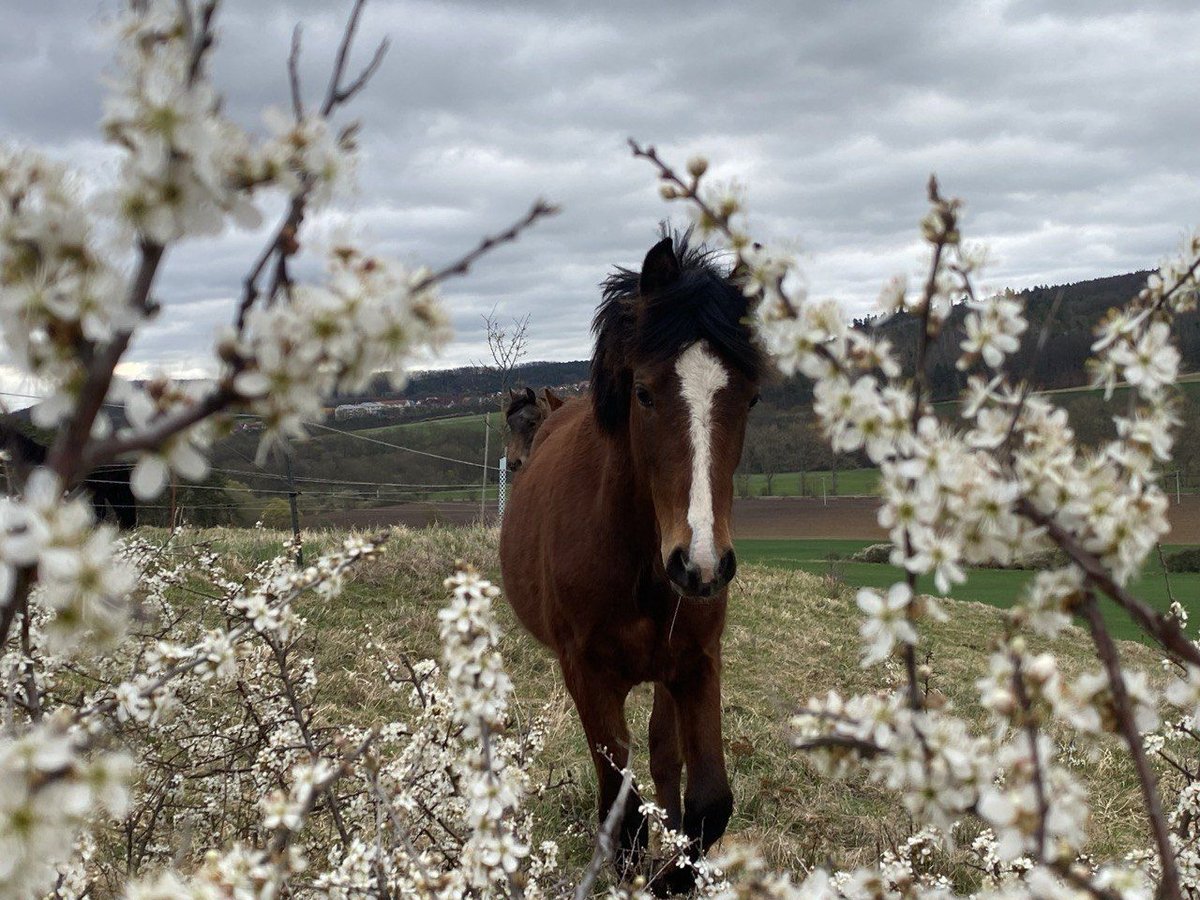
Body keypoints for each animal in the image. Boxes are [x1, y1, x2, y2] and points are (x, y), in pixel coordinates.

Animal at [499, 234, 763, 897]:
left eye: (750, 397)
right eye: (644, 393)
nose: (701, 565)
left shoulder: (697, 664)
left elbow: (709, 801)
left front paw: (672, 874)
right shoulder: (587, 675)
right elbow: (621, 804)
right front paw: (633, 866)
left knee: (665, 759)